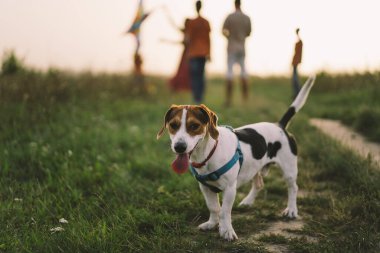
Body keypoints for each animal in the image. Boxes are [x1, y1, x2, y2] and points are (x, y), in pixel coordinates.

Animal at [156, 75, 316, 241]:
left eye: (194, 126)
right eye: (173, 125)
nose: (179, 147)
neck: (209, 153)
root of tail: (279, 126)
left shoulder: (230, 188)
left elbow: (225, 211)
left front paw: (226, 230)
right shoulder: (205, 187)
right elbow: (214, 208)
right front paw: (212, 223)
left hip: (289, 170)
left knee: (293, 188)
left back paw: (291, 210)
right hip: (254, 168)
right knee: (259, 184)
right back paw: (247, 202)